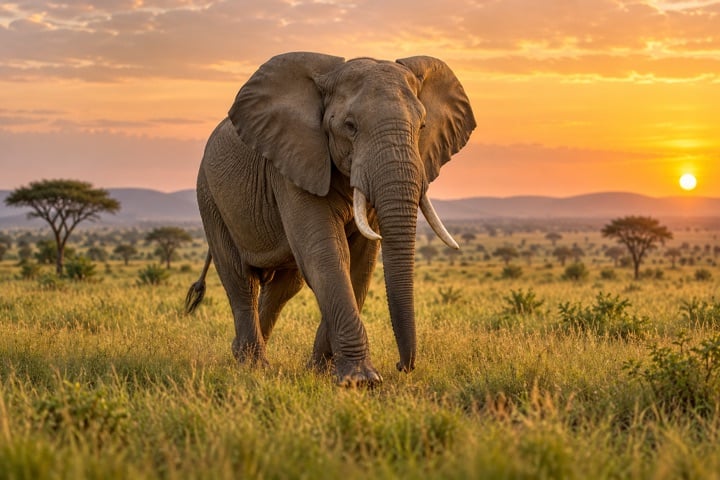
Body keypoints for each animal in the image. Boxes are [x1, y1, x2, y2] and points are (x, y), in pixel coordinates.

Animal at [186, 52, 475, 387]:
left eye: (422, 125)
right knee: (240, 278)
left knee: (285, 286)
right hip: (209, 196)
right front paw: (361, 381)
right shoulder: (295, 163)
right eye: (350, 126)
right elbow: (326, 255)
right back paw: (253, 365)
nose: (402, 366)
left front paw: (322, 372)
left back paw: (245, 355)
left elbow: (359, 263)